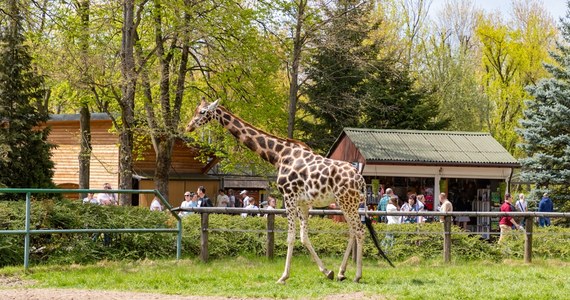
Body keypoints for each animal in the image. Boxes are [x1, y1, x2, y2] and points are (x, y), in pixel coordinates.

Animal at [186, 99, 370, 284]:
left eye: (202, 112)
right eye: (195, 110)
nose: (189, 126)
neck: (279, 155)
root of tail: (361, 179)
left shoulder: (289, 197)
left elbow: (291, 236)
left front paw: (283, 276)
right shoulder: (303, 203)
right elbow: (304, 236)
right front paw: (327, 272)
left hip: (347, 202)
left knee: (360, 230)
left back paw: (357, 275)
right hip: (345, 203)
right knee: (352, 231)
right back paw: (341, 273)